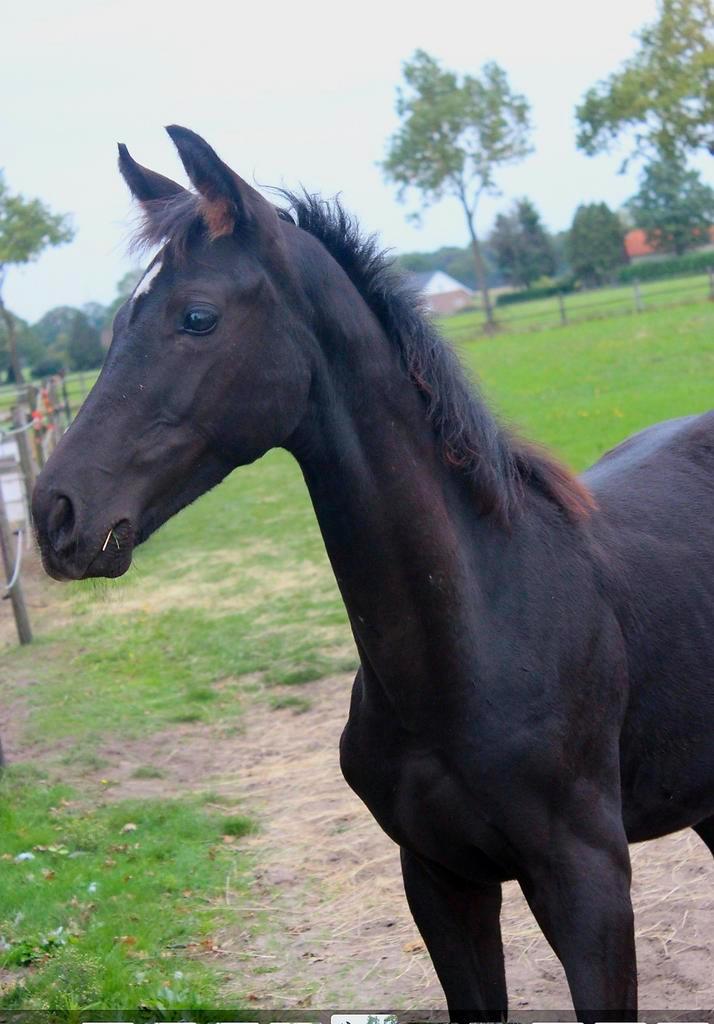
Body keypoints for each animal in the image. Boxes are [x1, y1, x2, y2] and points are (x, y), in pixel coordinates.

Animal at [32, 126, 714, 1023]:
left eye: (197, 317)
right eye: (116, 323)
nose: (54, 514)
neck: (482, 626)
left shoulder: (590, 887)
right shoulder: (438, 879)